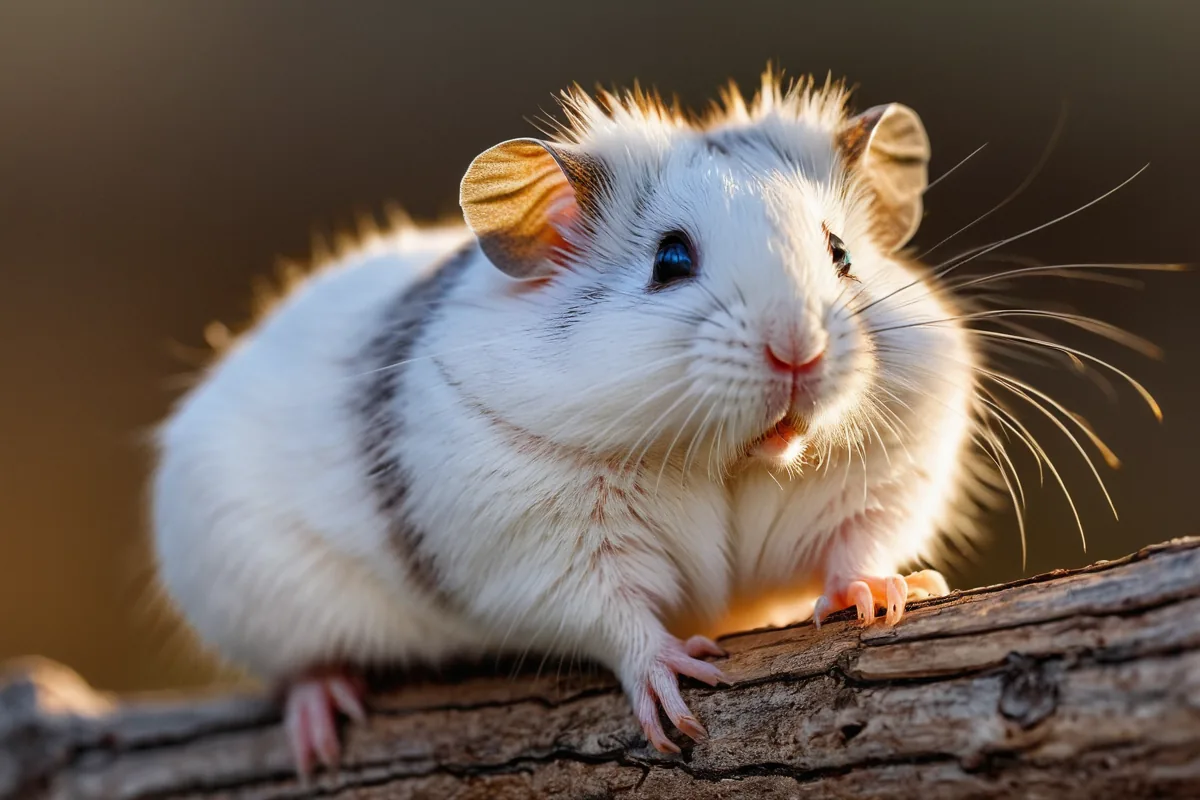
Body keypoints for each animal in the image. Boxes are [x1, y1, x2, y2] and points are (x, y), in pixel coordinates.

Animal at [149, 69, 992, 775]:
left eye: (841, 252)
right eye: (671, 261)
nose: (800, 353)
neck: (722, 457)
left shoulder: (894, 469)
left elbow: (858, 540)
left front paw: (882, 595)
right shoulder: (541, 547)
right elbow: (615, 617)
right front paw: (675, 691)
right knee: (298, 668)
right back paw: (321, 722)